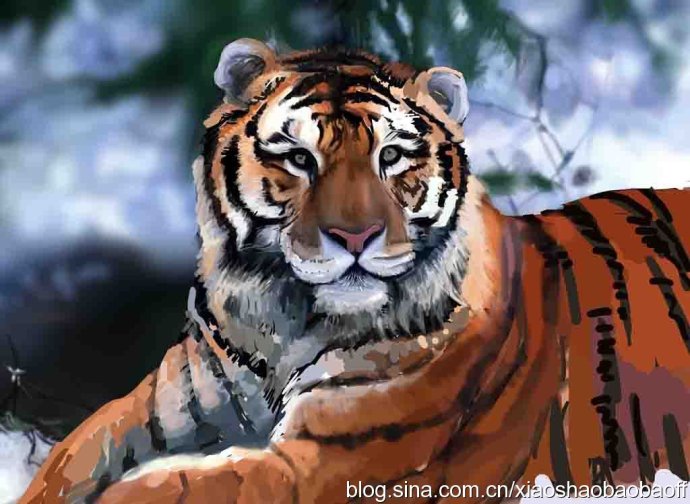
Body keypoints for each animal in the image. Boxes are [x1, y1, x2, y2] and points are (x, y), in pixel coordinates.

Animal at [21, 38, 690, 504]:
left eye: (390, 156)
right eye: (298, 158)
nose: (354, 236)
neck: (280, 323)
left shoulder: (323, 465)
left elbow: (166, 486)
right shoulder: (163, 405)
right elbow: (75, 455)